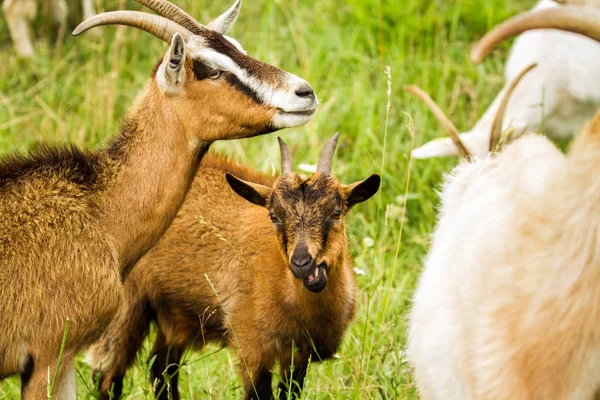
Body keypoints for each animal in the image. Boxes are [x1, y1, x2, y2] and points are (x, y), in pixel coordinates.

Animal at [86, 135, 380, 400]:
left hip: (174, 313)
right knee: (108, 374)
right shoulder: (252, 346)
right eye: (274, 216)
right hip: (127, 305)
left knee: (162, 370)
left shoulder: (299, 355)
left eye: (336, 212)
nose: (302, 264)